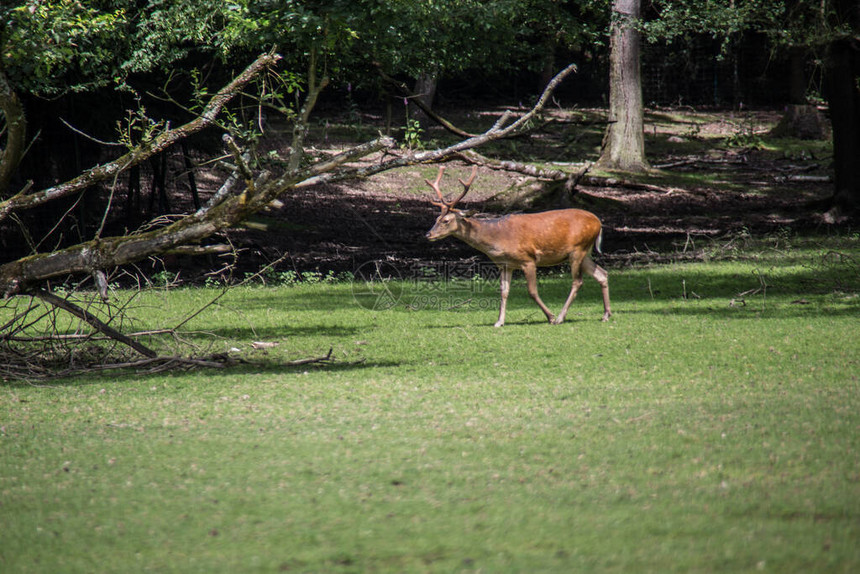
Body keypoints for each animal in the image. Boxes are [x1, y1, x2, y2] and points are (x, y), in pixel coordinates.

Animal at [424, 166, 612, 328]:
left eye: (446, 220)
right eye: (436, 219)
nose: (428, 235)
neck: (497, 240)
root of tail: (598, 222)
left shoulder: (528, 259)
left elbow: (532, 291)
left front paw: (550, 317)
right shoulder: (505, 265)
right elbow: (504, 292)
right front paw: (499, 322)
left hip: (578, 249)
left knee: (578, 281)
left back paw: (560, 317)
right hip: (585, 252)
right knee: (602, 274)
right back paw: (606, 314)